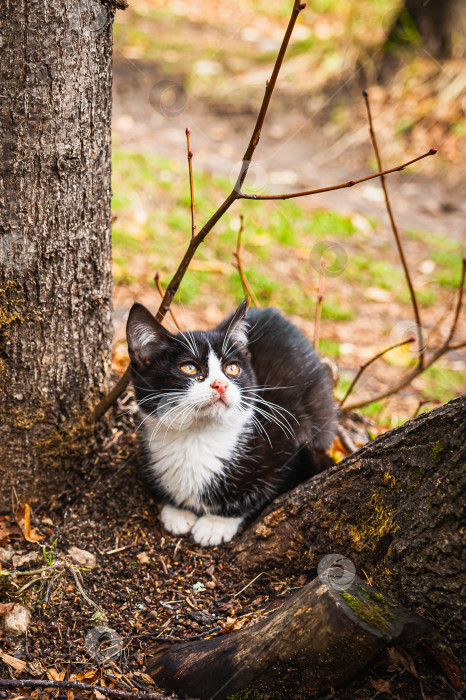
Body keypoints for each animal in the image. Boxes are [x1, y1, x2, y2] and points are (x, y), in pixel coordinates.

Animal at [127, 300, 336, 548]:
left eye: (232, 368)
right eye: (189, 367)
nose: (221, 385)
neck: (197, 435)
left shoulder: (290, 436)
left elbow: (265, 487)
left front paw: (215, 524)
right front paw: (177, 511)